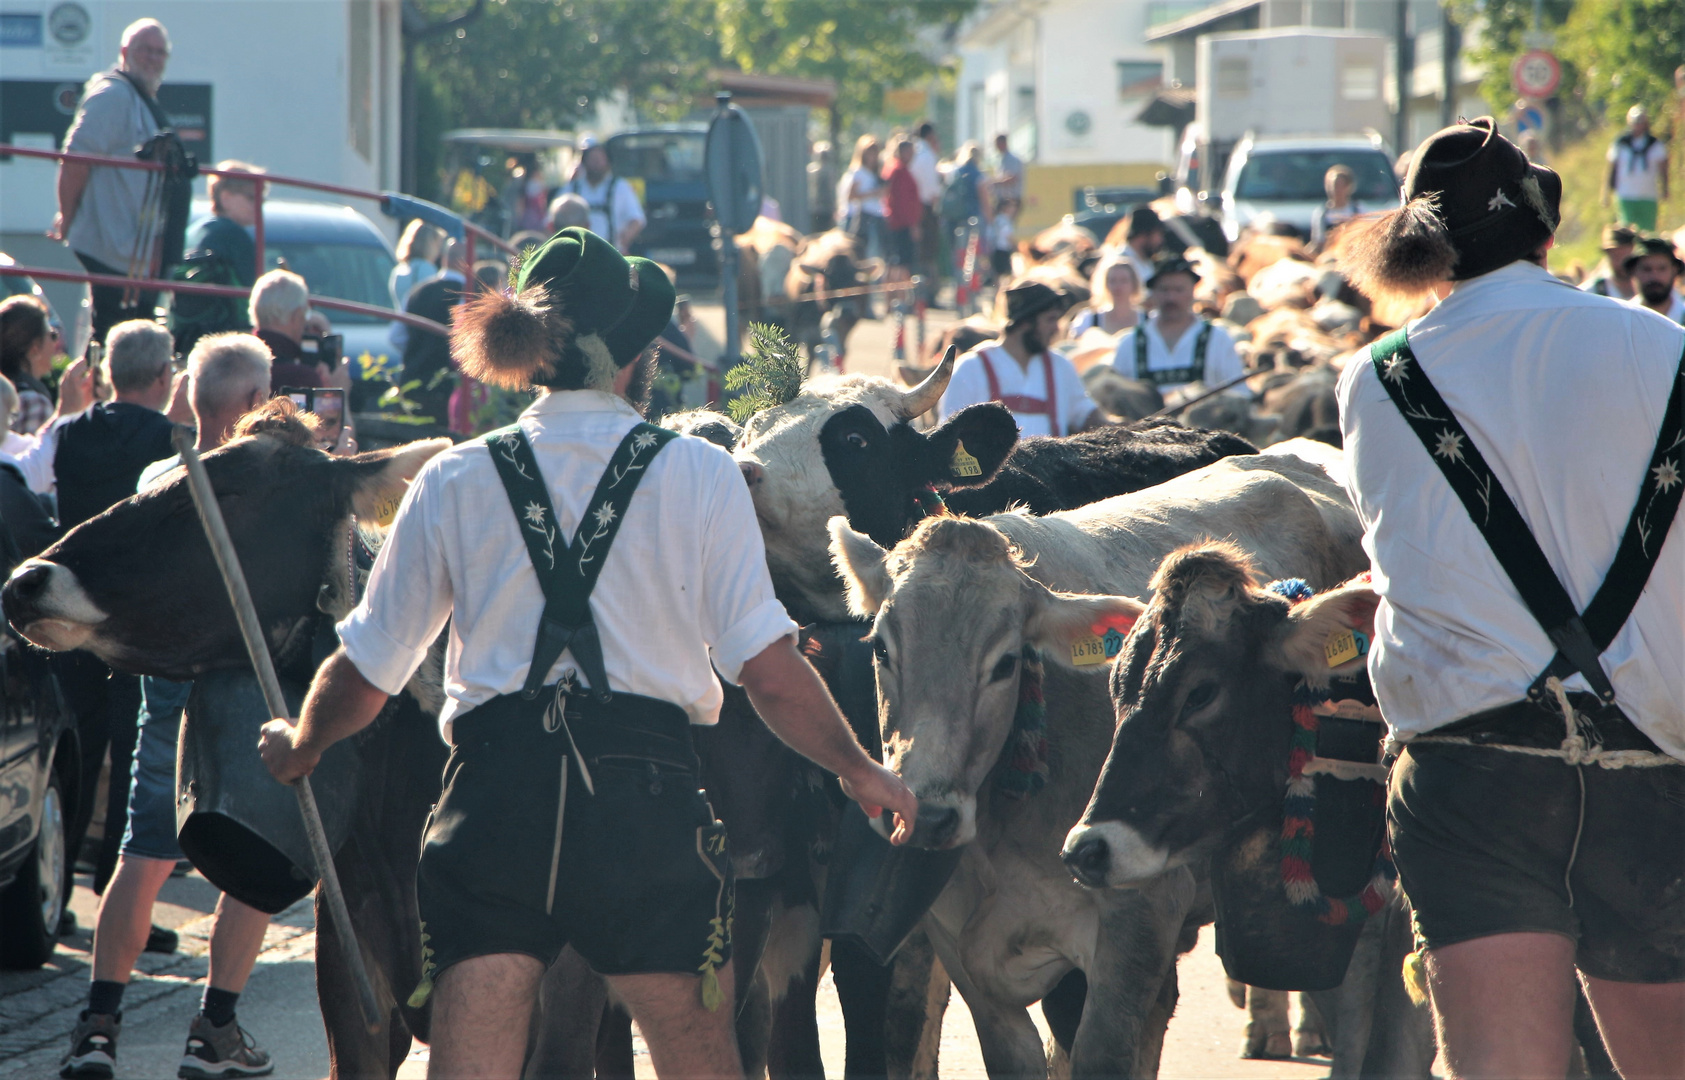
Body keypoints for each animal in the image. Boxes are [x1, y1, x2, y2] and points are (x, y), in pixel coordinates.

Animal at [829, 444, 1368, 1071]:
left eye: (1006, 663)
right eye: (881, 647)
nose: (928, 816)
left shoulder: (1137, 919)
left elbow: (1101, 1054)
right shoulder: (959, 948)